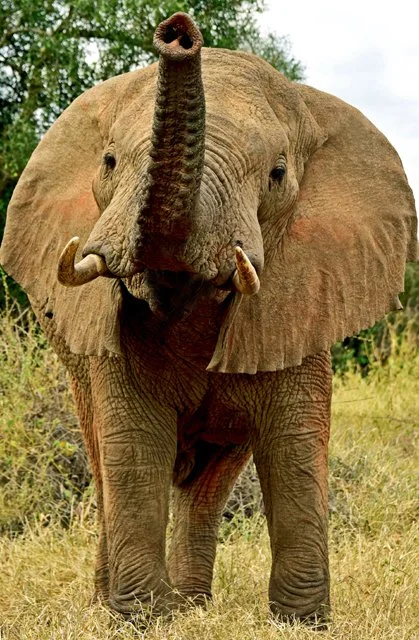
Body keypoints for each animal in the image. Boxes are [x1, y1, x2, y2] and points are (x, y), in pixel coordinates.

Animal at [1, 12, 417, 626]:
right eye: (108, 162)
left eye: (276, 174)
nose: (177, 32)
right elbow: (133, 441)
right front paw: (144, 619)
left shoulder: (304, 294)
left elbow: (296, 445)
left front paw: (301, 622)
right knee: (105, 458)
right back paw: (124, 604)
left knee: (208, 480)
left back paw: (192, 603)